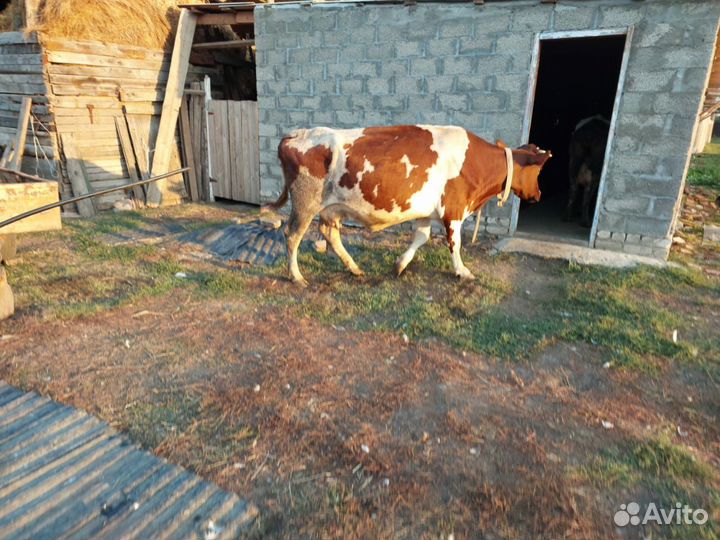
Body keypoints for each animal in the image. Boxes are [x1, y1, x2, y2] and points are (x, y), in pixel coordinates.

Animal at [263, 125, 552, 285]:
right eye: (538, 171)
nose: (538, 194)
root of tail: (296, 134)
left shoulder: (425, 210)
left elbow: (421, 237)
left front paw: (400, 265)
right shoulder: (454, 209)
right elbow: (455, 243)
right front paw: (462, 271)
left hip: (331, 208)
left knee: (330, 235)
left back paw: (355, 269)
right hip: (305, 203)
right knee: (292, 235)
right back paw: (297, 277)